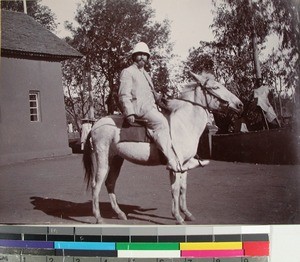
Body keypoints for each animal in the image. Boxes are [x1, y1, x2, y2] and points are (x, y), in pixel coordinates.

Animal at [82, 72, 244, 225]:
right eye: (215, 87)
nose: (240, 105)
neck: (184, 124)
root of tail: (96, 124)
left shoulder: (184, 166)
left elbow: (183, 189)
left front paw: (187, 213)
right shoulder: (175, 167)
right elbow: (175, 190)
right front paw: (178, 217)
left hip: (116, 159)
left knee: (110, 183)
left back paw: (120, 213)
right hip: (102, 158)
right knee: (96, 185)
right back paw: (98, 218)